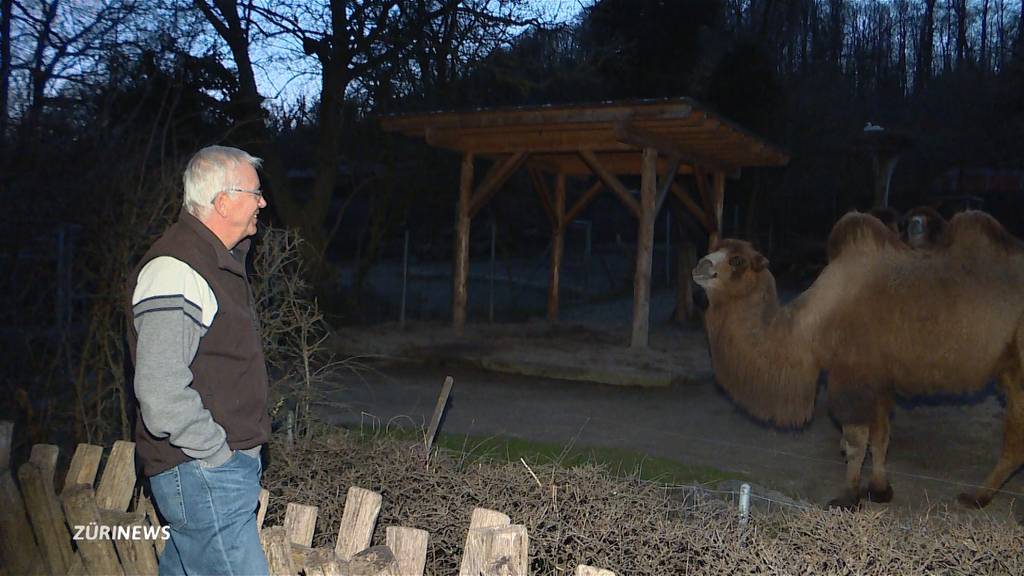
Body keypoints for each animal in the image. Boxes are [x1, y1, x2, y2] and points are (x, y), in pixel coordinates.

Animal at [696, 211, 1024, 506]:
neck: (810, 328)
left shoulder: (851, 374)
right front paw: (879, 490)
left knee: (1014, 439)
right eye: (714, 248)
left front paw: (847, 497)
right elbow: (880, 436)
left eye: (737, 260)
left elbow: (856, 441)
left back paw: (976, 497)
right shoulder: (876, 378)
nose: (700, 266)